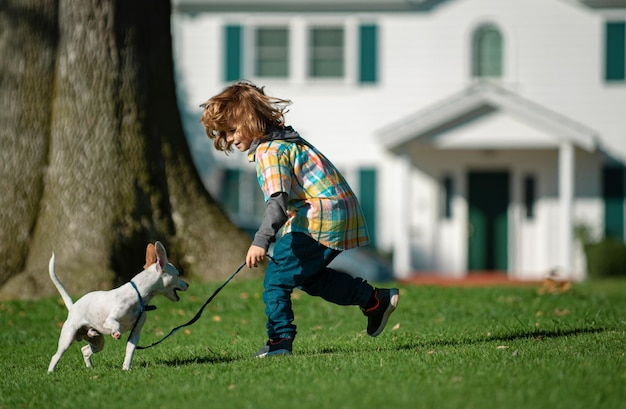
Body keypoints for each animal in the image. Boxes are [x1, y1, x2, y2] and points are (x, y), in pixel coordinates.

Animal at [47, 241, 188, 372]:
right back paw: (50, 372)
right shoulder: (109, 320)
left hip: (98, 342)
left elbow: (130, 350)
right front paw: (116, 333)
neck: (138, 296)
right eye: (177, 274)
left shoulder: (135, 332)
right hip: (68, 337)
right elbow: (115, 324)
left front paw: (126, 369)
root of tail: (73, 306)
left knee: (85, 350)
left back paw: (90, 367)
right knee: (56, 356)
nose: (187, 284)